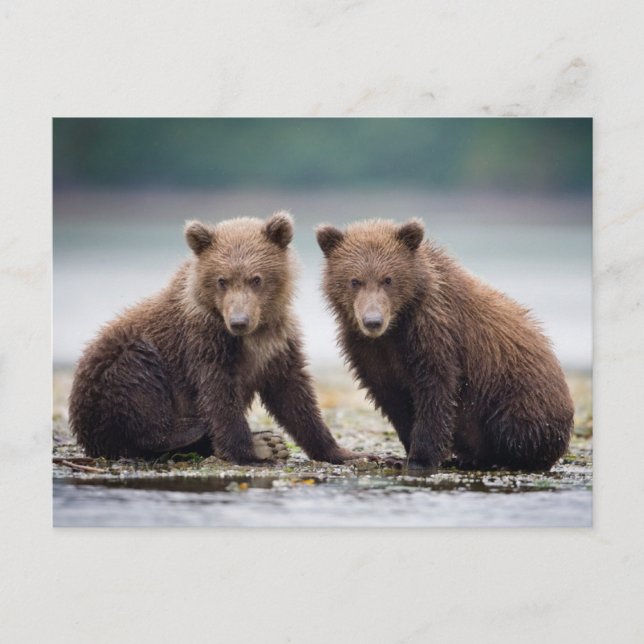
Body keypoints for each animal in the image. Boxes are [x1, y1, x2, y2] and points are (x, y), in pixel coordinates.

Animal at [69, 211, 363, 465]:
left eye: (256, 279)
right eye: (222, 280)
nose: (239, 321)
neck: (253, 334)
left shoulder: (277, 342)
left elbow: (294, 394)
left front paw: (341, 451)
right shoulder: (205, 342)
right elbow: (218, 394)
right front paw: (249, 451)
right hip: (109, 374)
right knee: (137, 380)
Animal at [316, 218, 574, 471]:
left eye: (388, 279)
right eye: (354, 281)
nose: (373, 321)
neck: (396, 326)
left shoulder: (434, 334)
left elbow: (436, 392)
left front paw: (419, 458)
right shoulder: (367, 350)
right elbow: (392, 398)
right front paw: (401, 454)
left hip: (518, 393)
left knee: (515, 429)